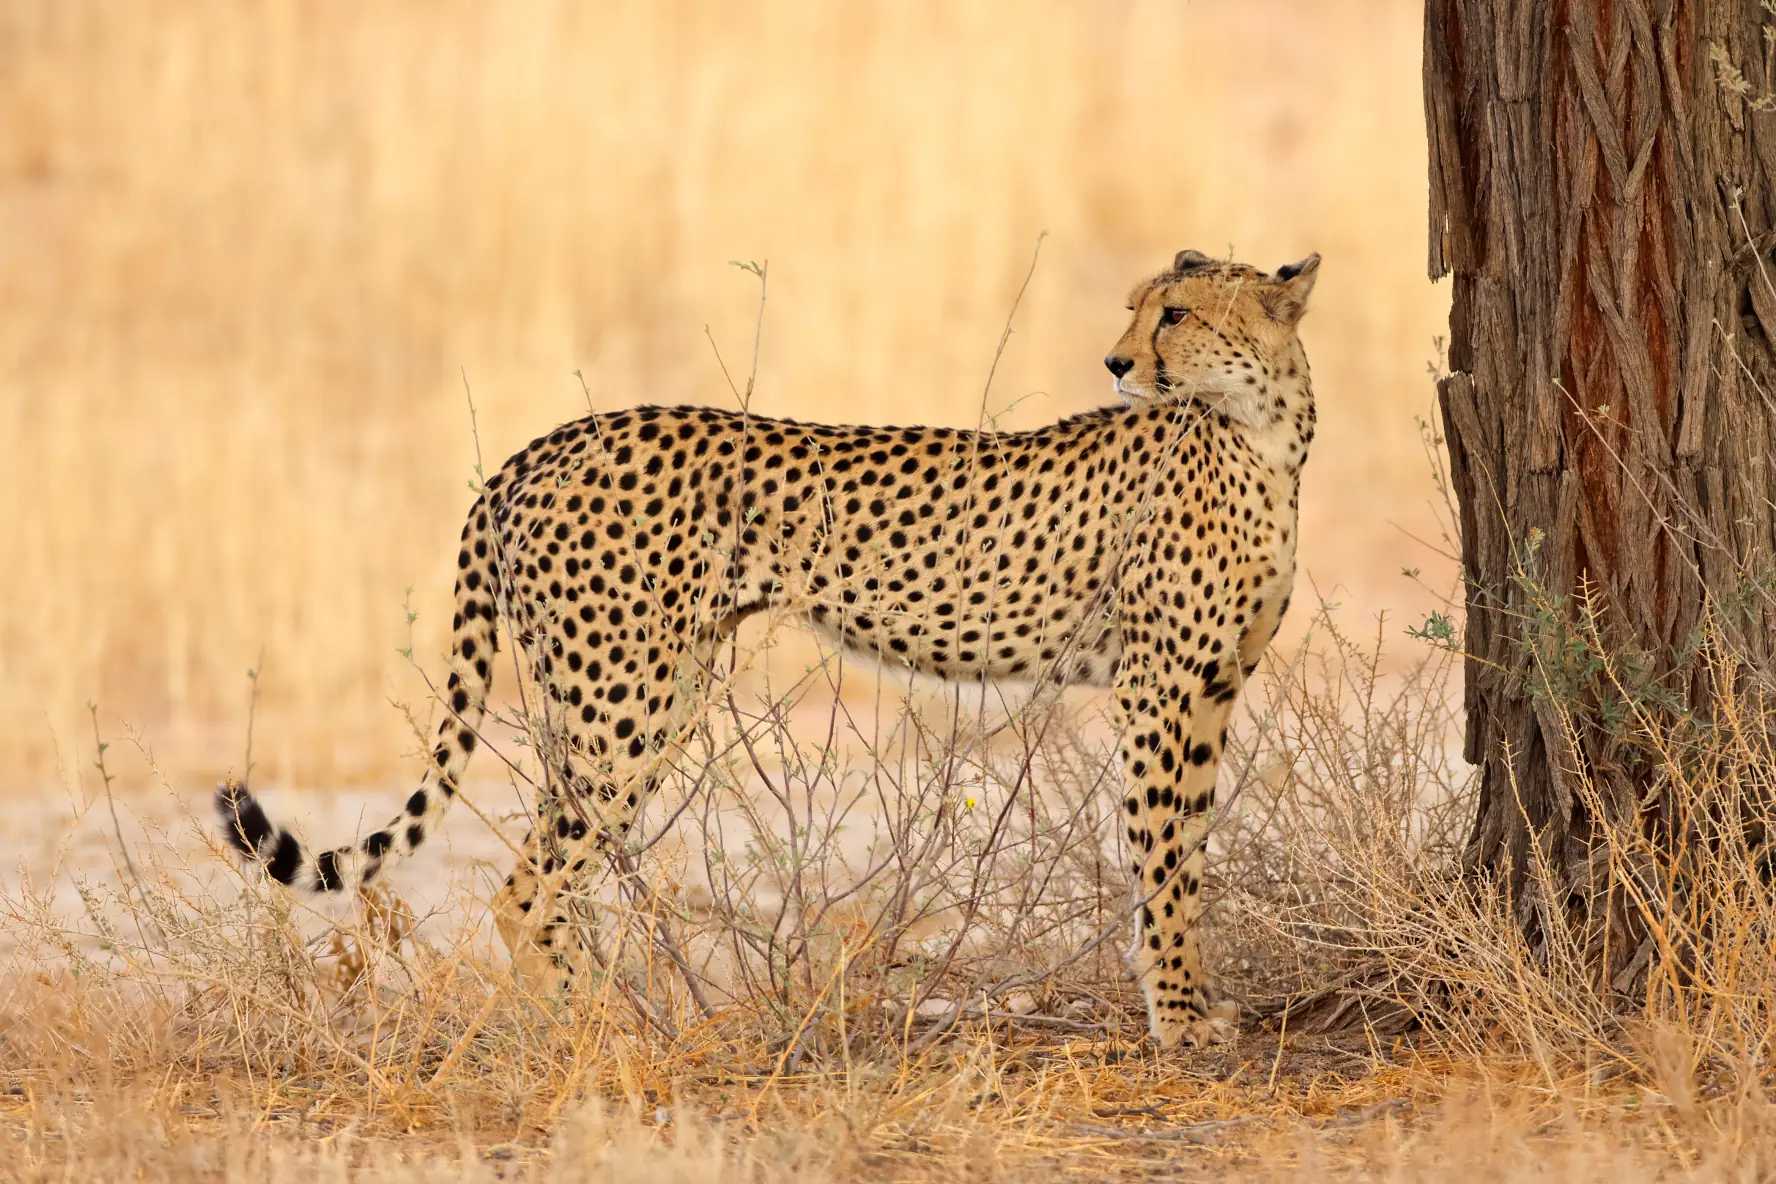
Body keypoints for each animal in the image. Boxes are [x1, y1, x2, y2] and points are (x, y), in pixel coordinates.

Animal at [217, 247, 1320, 1049]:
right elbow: (1164, 858)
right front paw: (1179, 1019)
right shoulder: (1162, 688)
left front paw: (1192, 1001)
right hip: (621, 707)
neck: (1267, 432)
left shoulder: (1214, 687)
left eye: (1175, 313)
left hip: (649, 695)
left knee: (539, 874)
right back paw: (594, 1033)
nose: (1117, 364)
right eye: (1141, 308)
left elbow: (1188, 847)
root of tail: (543, 444)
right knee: (528, 888)